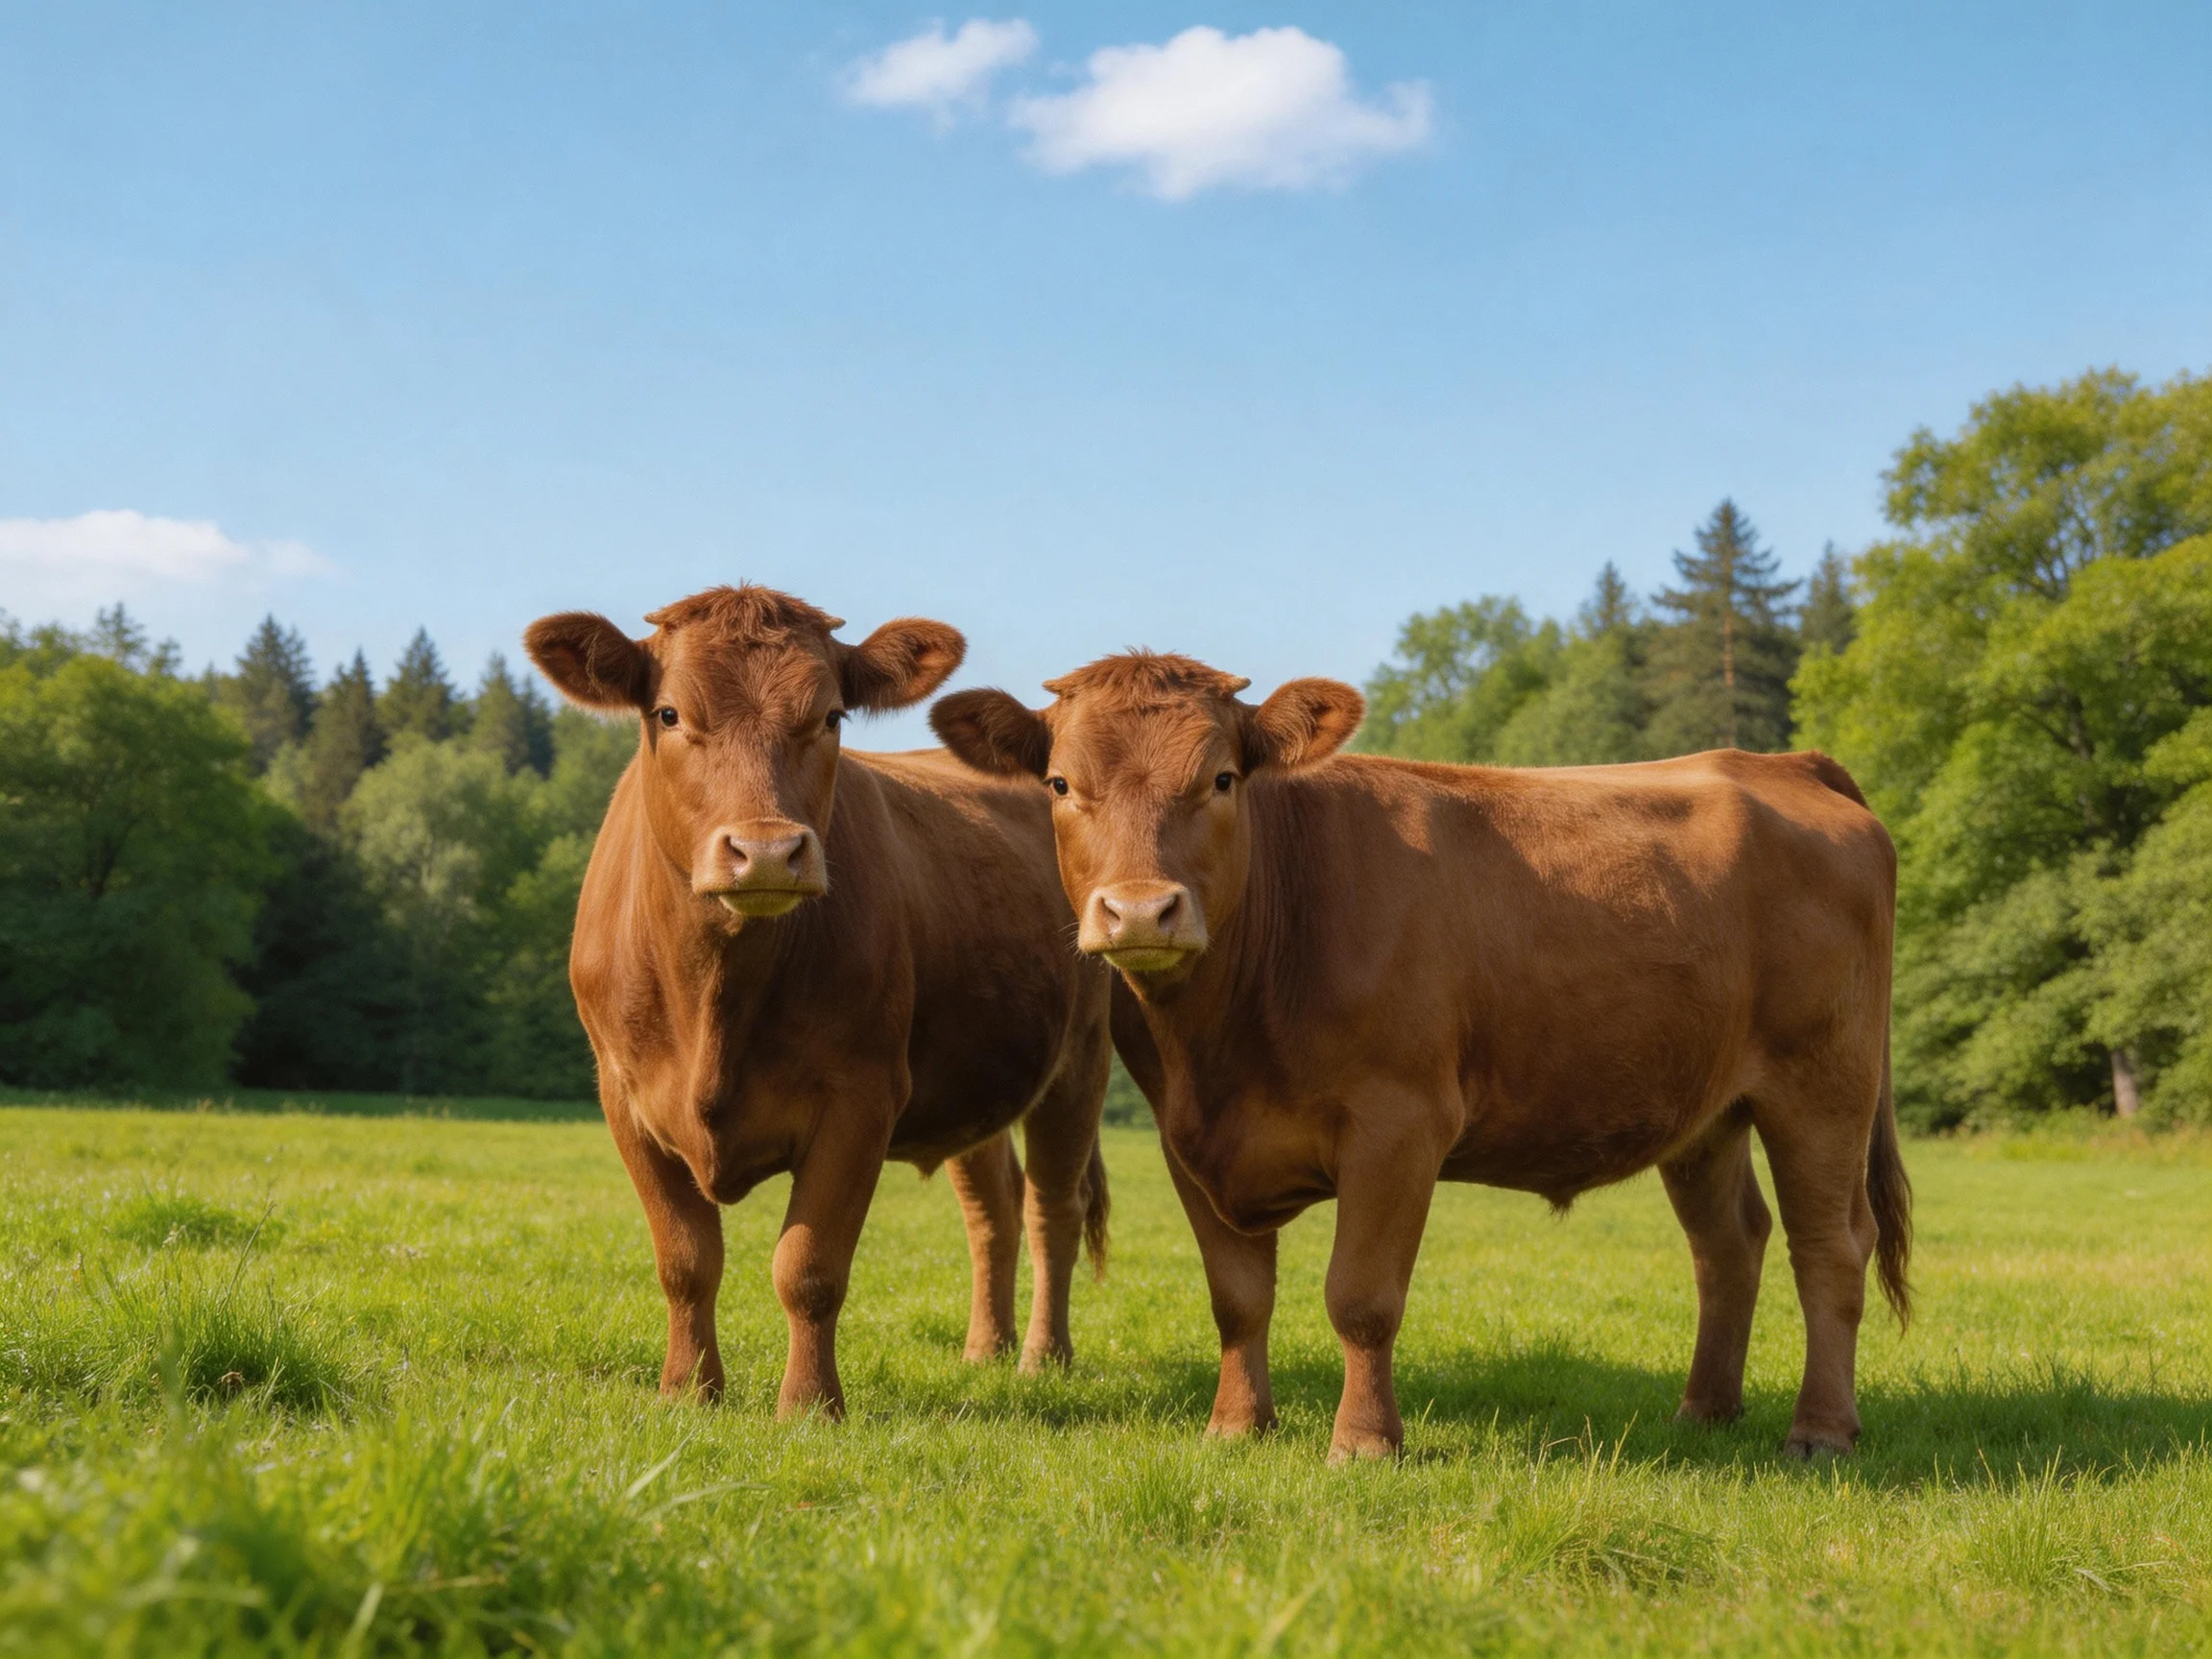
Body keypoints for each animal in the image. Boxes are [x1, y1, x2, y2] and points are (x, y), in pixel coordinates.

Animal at [523, 586, 1111, 1420]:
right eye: (668, 713)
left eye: (831, 716)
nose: (767, 851)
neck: (717, 995)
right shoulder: (623, 1095)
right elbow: (685, 1259)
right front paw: (687, 1392)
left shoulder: (862, 1096)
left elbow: (808, 1267)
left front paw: (807, 1406)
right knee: (992, 1204)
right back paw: (984, 1350)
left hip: (1079, 1058)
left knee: (1052, 1207)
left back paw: (1040, 1358)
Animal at [932, 651, 1909, 1462]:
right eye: (1060, 783)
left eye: (1221, 778)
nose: (1140, 910)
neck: (1222, 1041)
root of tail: (1781, 764)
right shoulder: (1189, 1140)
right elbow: (1238, 1296)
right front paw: (1236, 1427)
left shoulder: (1398, 1125)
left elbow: (1361, 1299)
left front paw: (1365, 1443)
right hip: (1703, 1111)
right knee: (1729, 1244)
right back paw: (1705, 1409)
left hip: (1822, 1085)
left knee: (1830, 1246)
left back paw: (1821, 1430)